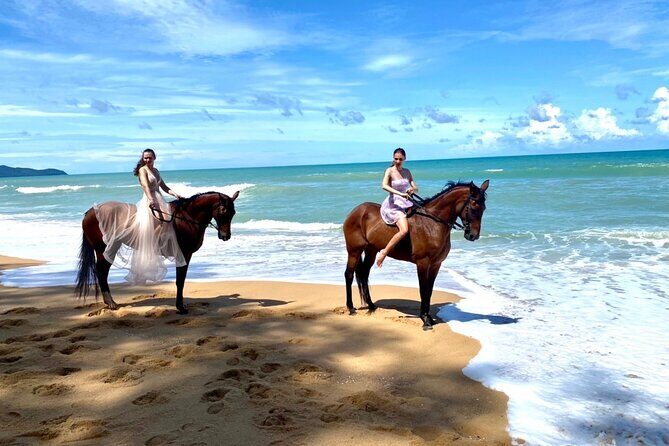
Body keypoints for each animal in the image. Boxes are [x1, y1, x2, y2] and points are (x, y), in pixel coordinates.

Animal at [75, 191, 239, 314]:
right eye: (224, 211)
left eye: (233, 213)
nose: (226, 236)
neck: (186, 217)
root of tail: (90, 212)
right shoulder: (184, 254)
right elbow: (180, 281)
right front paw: (180, 307)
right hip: (105, 249)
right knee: (102, 272)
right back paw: (111, 303)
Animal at [343, 180, 488, 330]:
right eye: (474, 207)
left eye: (484, 208)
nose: (473, 236)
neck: (432, 223)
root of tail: (356, 210)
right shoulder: (423, 263)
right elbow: (423, 289)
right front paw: (425, 320)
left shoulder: (436, 265)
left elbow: (429, 290)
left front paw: (429, 317)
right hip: (354, 251)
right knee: (349, 274)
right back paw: (351, 308)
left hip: (371, 251)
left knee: (364, 274)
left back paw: (371, 306)